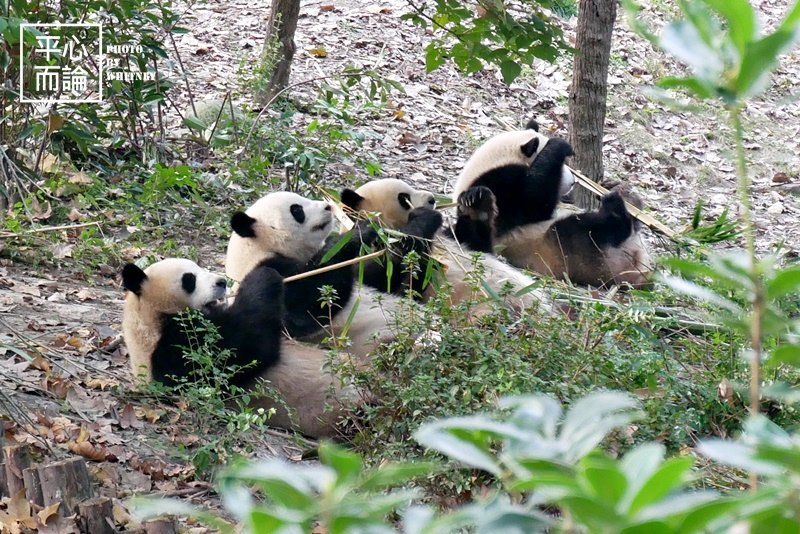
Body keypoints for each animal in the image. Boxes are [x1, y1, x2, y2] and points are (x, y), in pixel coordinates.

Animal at [119, 258, 356, 440]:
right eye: (189, 279)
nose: (221, 282)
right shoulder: (174, 352)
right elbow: (245, 347)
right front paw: (264, 275)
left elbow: (304, 311)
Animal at [340, 178, 552, 316]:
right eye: (403, 197)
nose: (432, 199)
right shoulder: (368, 253)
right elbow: (396, 283)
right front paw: (423, 219)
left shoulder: (452, 240)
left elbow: (477, 245)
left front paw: (476, 202)